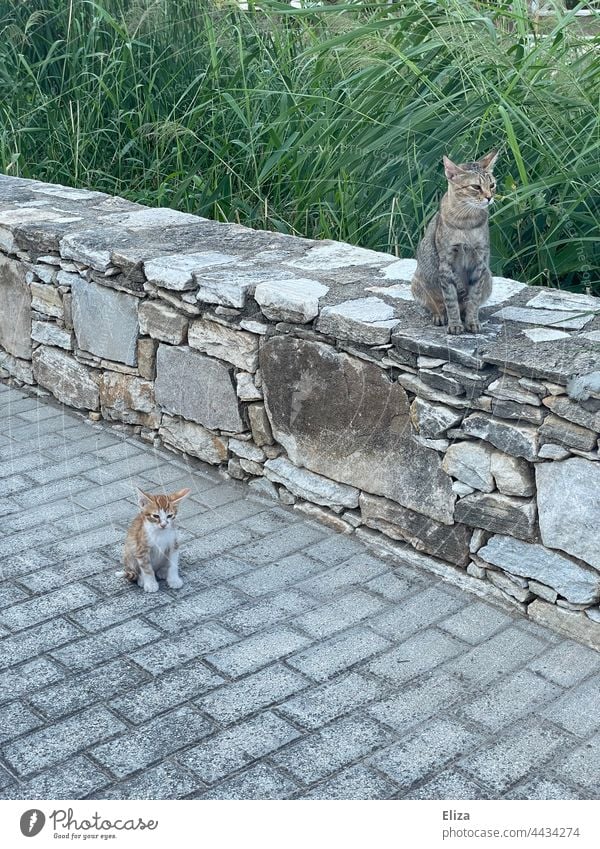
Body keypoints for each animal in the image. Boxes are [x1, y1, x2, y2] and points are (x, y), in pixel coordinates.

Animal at [412, 151, 496, 336]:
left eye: (492, 185)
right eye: (476, 187)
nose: (489, 197)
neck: (467, 221)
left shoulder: (479, 261)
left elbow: (473, 298)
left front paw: (472, 322)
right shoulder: (446, 263)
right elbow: (450, 300)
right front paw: (455, 324)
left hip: (488, 278)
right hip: (419, 281)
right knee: (436, 305)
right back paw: (439, 316)